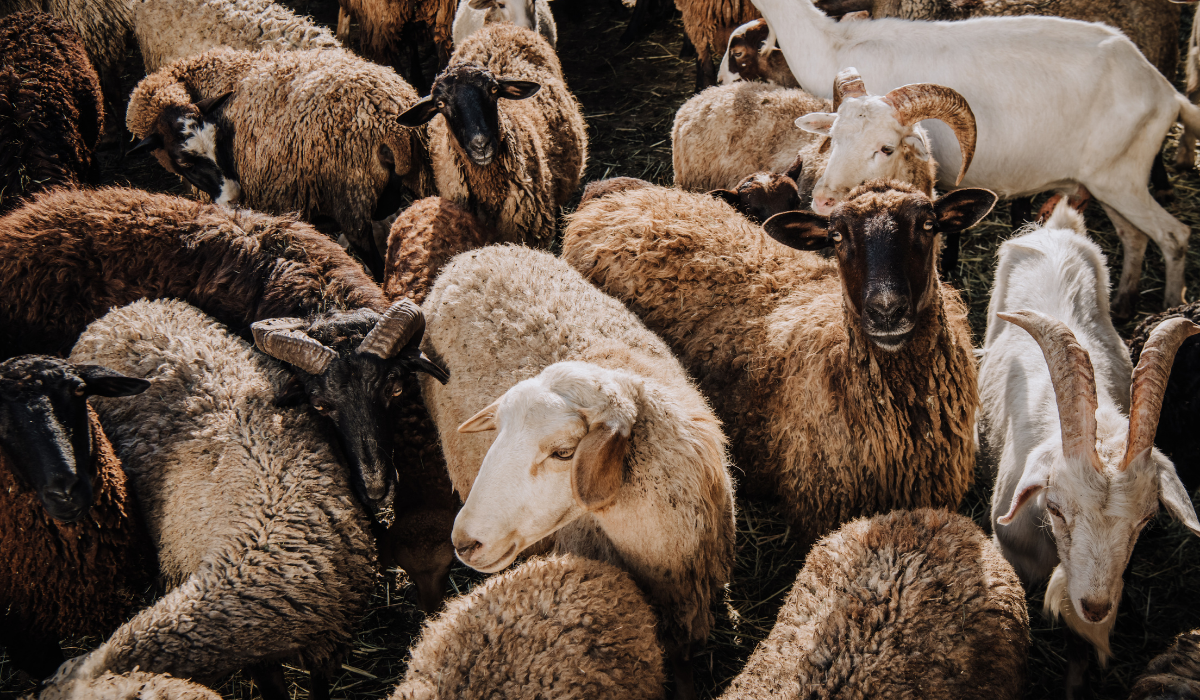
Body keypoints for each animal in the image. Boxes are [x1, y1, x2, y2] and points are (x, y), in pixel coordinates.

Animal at [125, 46, 434, 272]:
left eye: (219, 140)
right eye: (186, 162)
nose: (234, 195)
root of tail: (390, 122)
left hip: (350, 192)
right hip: (425, 170)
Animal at [751, 0, 1199, 315]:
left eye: (886, 148)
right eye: (835, 138)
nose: (824, 200)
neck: (831, 41)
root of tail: (1166, 91)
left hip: (1122, 181)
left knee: (1174, 235)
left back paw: (1170, 305)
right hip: (1112, 180)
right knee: (1135, 236)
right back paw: (1123, 303)